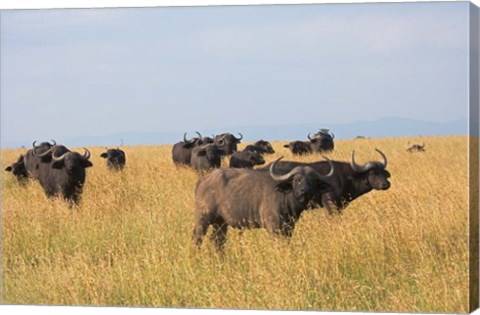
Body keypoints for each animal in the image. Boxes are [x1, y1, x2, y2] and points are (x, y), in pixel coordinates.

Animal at [191, 157, 334, 251]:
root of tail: (202, 181)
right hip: (203, 218)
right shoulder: (273, 228)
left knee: (217, 241)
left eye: (312, 181)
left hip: (221, 223)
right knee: (197, 237)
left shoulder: (289, 228)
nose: (305, 191)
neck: (285, 198)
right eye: (297, 180)